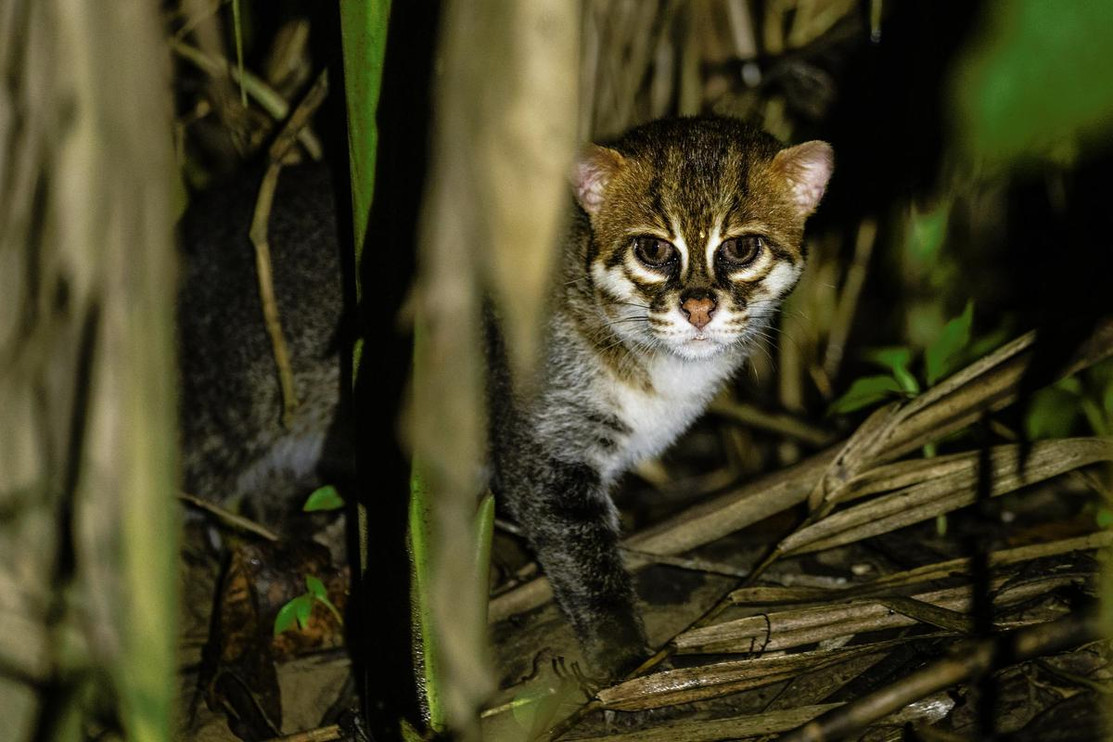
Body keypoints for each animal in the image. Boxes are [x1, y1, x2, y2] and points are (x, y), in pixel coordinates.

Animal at [178, 117, 832, 685]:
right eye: (652, 250)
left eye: (742, 249)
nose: (698, 307)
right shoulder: (544, 446)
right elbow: (586, 561)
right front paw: (625, 659)